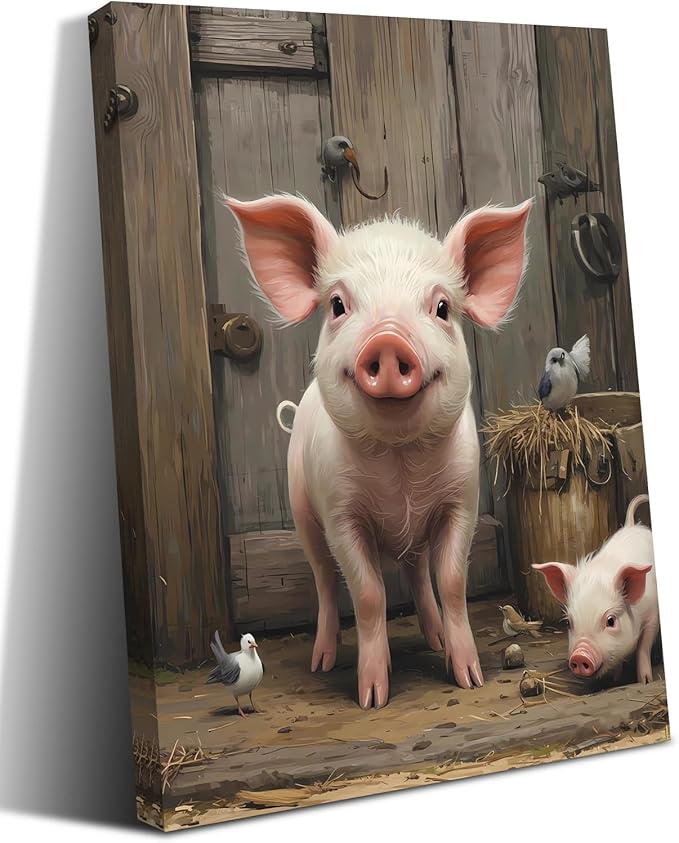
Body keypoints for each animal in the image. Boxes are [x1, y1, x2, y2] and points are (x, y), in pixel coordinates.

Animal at [226, 193, 532, 708]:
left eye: (442, 307)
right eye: (337, 304)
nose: (388, 339)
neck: (399, 462)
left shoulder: (462, 501)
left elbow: (452, 583)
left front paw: (469, 678)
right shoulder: (339, 513)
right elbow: (367, 593)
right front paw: (372, 697)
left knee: (417, 575)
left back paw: (435, 639)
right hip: (303, 513)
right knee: (326, 582)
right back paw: (323, 660)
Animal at [533, 494, 658, 684]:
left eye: (611, 621)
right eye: (569, 623)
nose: (580, 656)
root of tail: (631, 524)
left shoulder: (653, 615)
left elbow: (643, 647)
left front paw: (645, 681)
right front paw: (615, 680)